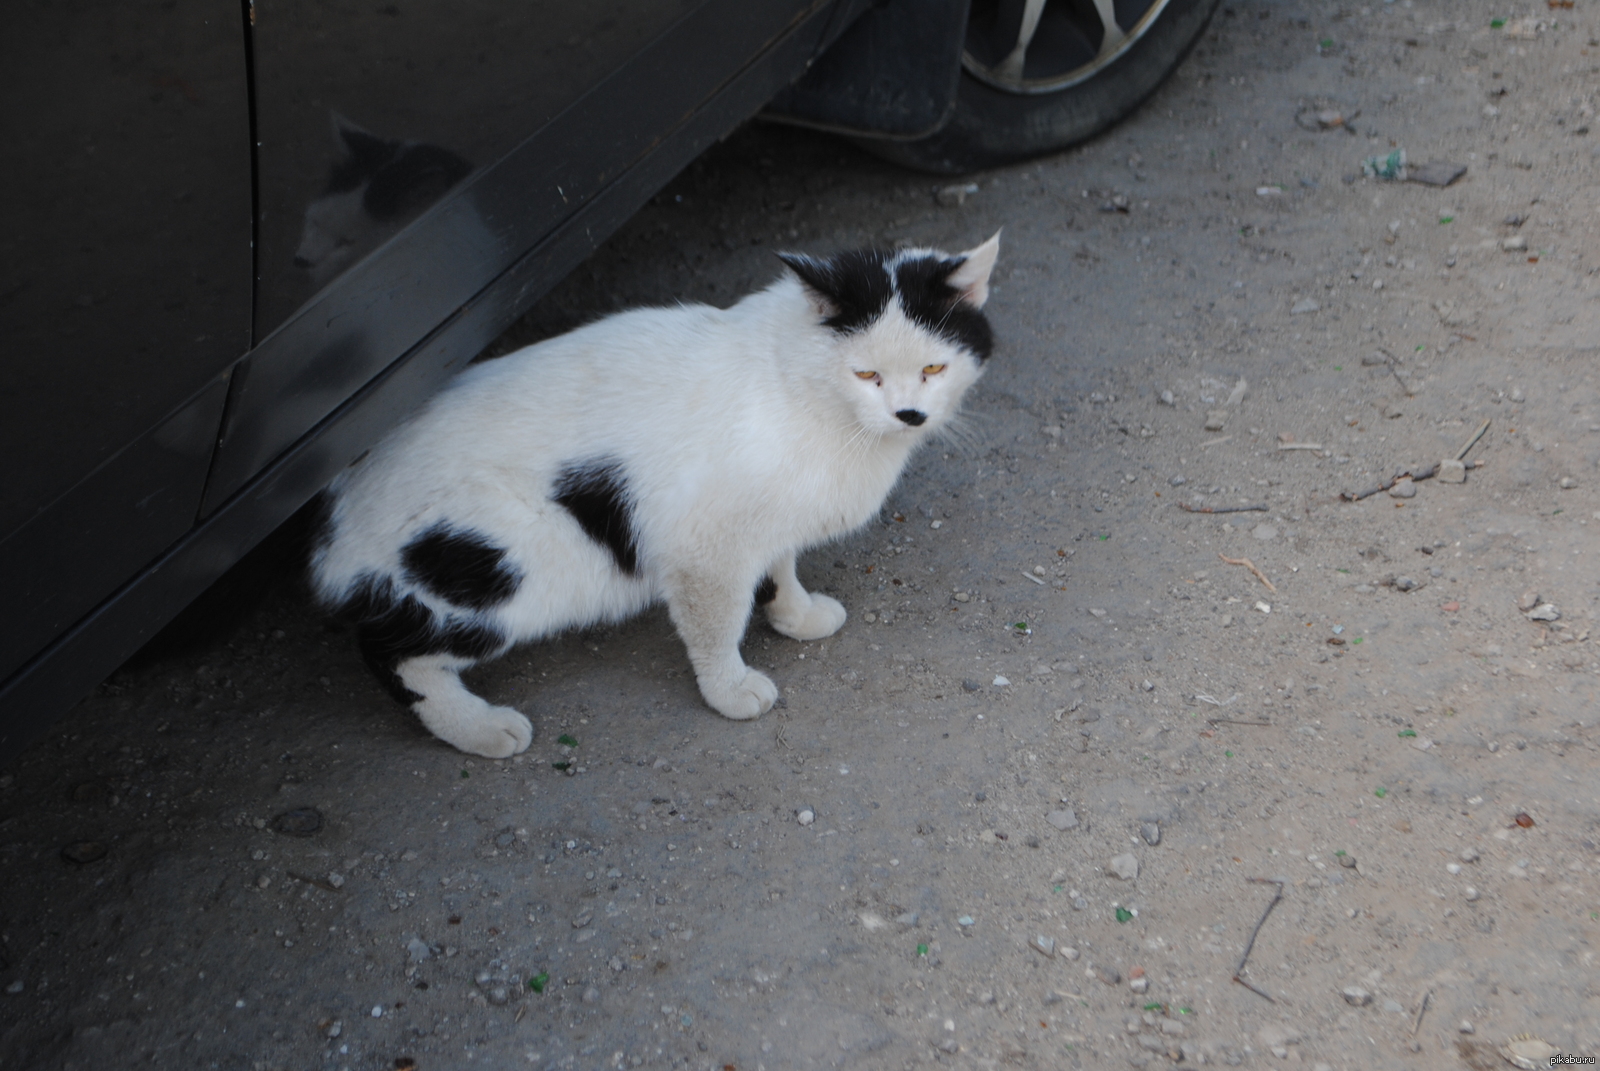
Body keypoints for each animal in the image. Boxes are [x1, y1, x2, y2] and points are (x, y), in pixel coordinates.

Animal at [305, 232, 992, 758]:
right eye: (866, 374)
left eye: (933, 368)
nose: (908, 413)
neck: (800, 387)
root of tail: (340, 507)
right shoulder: (703, 547)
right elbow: (717, 624)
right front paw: (730, 689)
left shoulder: (761, 520)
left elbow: (779, 565)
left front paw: (795, 615)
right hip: (505, 568)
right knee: (393, 652)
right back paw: (478, 728)